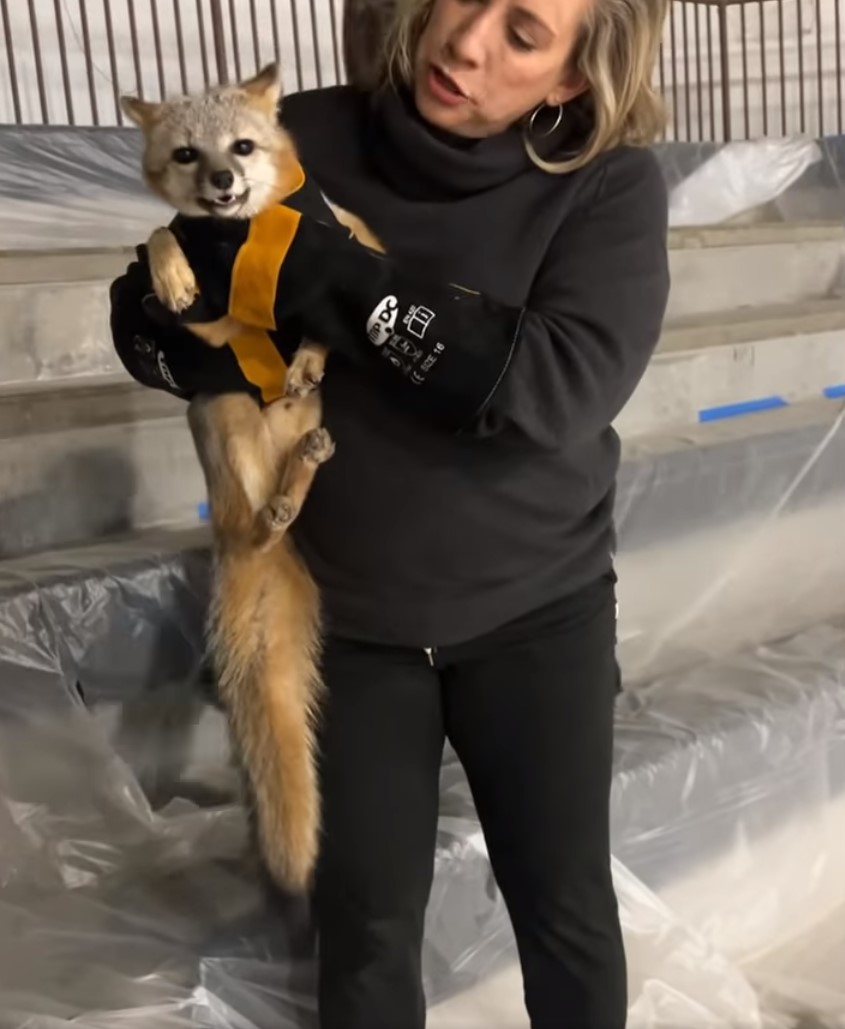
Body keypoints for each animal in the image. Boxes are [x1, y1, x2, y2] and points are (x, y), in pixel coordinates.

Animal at [120, 64, 383, 892]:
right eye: (186, 154)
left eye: (240, 146)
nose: (222, 185)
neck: (243, 241)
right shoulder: (196, 264)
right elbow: (160, 234)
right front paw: (171, 275)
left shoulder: (353, 243)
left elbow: (330, 314)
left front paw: (306, 356)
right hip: (222, 406)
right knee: (256, 517)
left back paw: (298, 462)